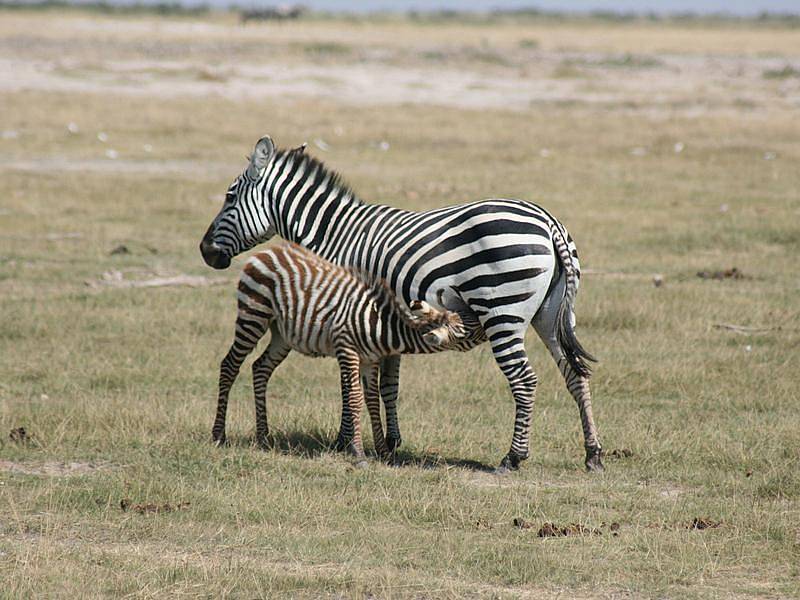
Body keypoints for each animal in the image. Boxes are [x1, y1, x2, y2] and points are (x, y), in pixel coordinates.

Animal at [214, 241, 476, 462]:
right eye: (470, 331)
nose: (483, 319)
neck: (381, 326)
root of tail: (265, 252)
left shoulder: (370, 360)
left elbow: (371, 400)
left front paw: (382, 451)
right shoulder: (347, 349)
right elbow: (355, 398)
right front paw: (358, 453)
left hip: (281, 334)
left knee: (260, 368)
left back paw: (263, 437)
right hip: (253, 315)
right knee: (230, 365)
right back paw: (219, 435)